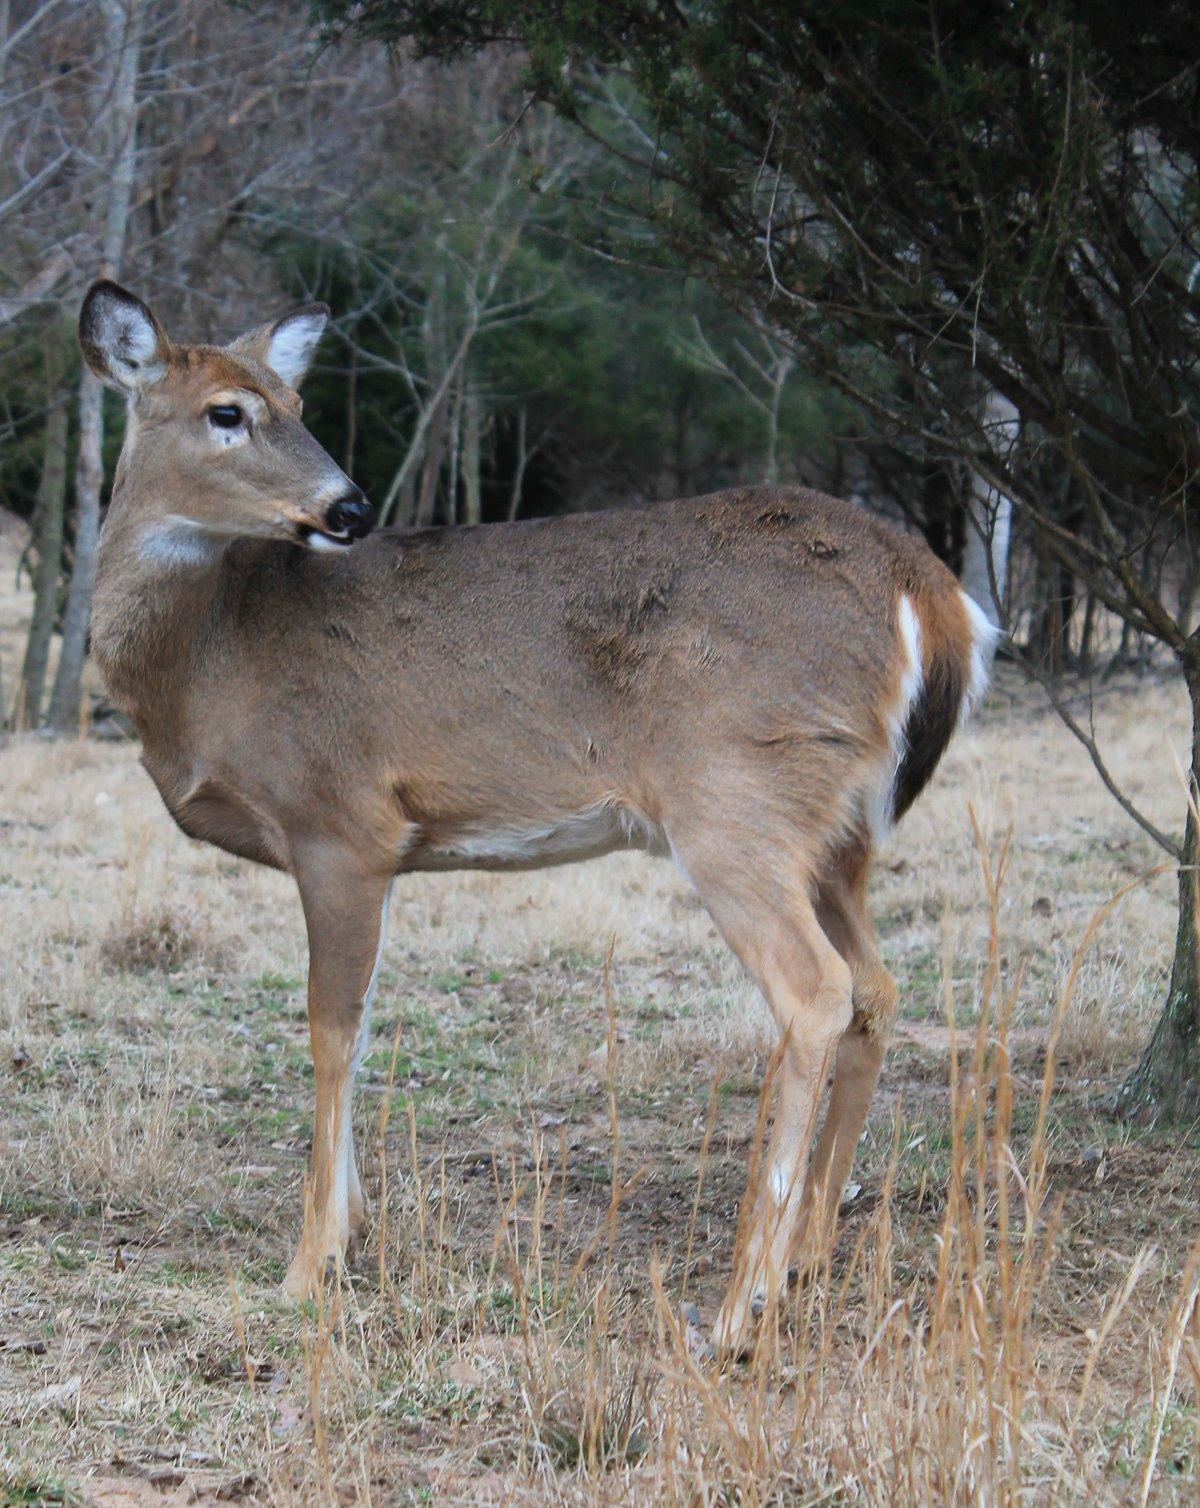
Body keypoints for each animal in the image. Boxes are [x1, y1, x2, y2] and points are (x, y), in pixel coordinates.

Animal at [77, 280, 994, 1357]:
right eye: (227, 409)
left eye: (293, 404)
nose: (349, 507)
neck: (212, 660)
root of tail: (931, 592)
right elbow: (365, 1024)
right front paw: (352, 1229)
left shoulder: (340, 821)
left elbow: (330, 1029)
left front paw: (309, 1266)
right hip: (837, 829)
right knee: (877, 988)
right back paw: (807, 1256)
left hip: (737, 796)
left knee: (816, 991)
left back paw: (739, 1308)